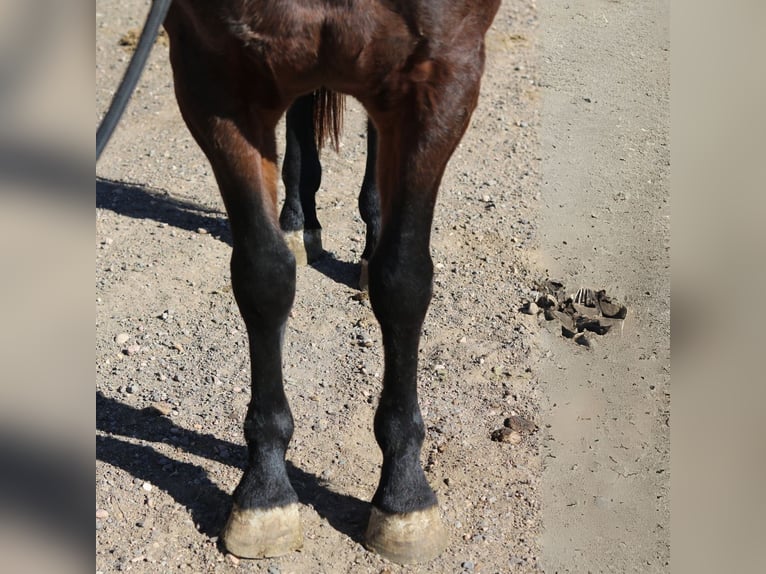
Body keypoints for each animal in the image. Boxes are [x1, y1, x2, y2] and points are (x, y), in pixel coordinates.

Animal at [162, 1, 500, 568]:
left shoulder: (444, 73)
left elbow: (403, 281)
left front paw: (404, 495)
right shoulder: (212, 73)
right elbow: (263, 276)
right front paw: (265, 492)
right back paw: (300, 221)